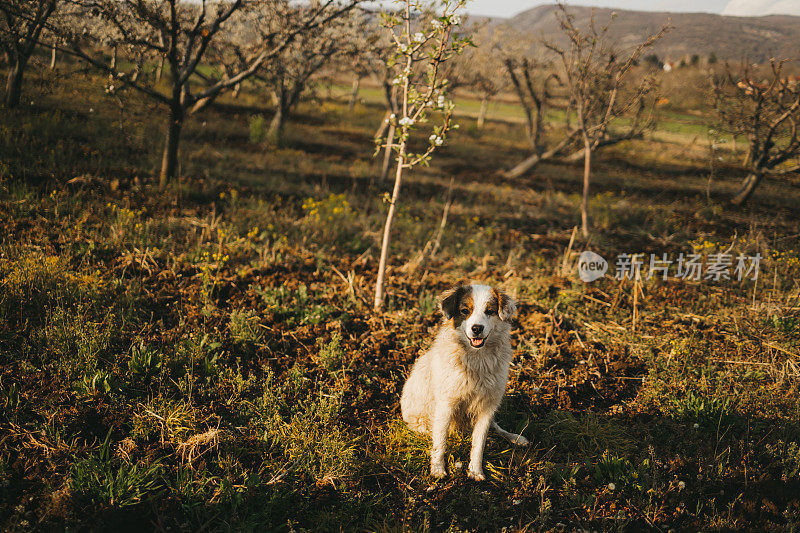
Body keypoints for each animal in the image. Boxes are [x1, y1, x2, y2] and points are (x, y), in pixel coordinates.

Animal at [400, 284, 532, 480]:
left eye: (489, 311)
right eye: (465, 311)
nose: (477, 328)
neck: (477, 360)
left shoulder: (487, 407)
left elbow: (479, 443)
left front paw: (475, 471)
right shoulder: (446, 405)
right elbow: (440, 442)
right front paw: (437, 470)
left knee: (496, 428)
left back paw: (516, 438)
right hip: (420, 422)